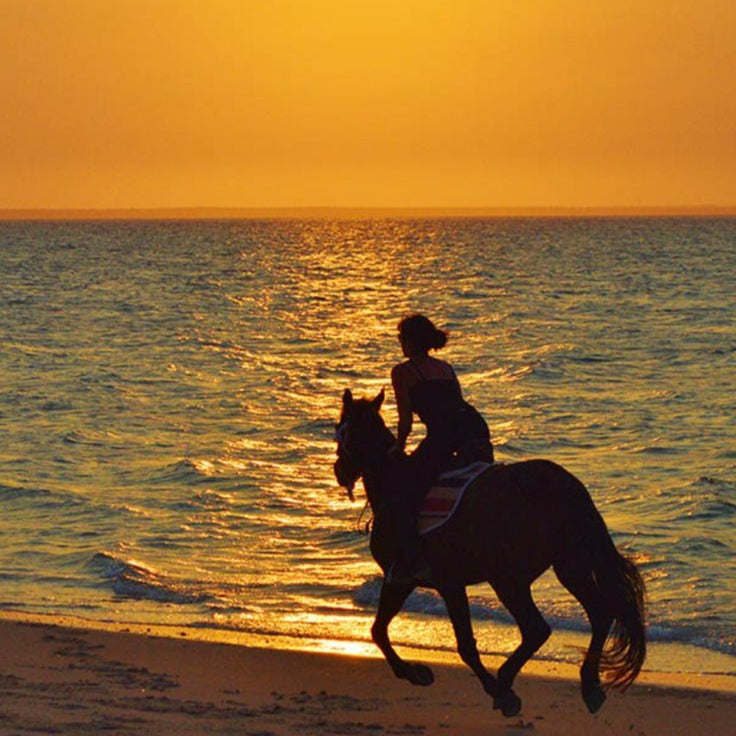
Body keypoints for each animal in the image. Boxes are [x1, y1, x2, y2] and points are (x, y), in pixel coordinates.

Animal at [334, 388, 644, 716]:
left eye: (343, 432)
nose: (340, 471)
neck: (394, 483)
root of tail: (567, 487)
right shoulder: (411, 581)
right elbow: (379, 630)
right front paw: (417, 672)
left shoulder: (427, 580)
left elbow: (461, 645)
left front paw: (419, 673)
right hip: (569, 566)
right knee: (598, 613)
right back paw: (589, 684)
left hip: (507, 577)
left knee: (537, 628)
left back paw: (506, 684)